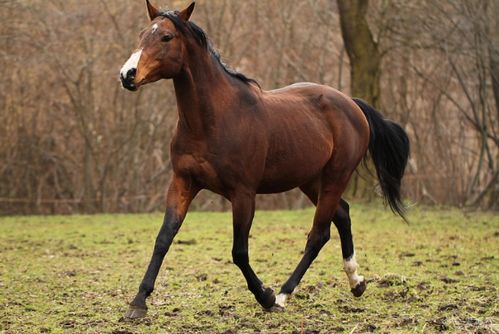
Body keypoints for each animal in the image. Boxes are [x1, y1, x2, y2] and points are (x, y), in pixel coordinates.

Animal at [120, 0, 410, 318]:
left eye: (166, 37)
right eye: (141, 34)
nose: (127, 75)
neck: (213, 121)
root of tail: (352, 104)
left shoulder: (243, 194)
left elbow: (239, 252)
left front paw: (266, 296)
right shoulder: (183, 182)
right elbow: (163, 238)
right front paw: (138, 302)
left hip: (336, 176)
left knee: (318, 234)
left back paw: (284, 294)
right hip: (311, 181)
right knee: (342, 215)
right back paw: (356, 282)